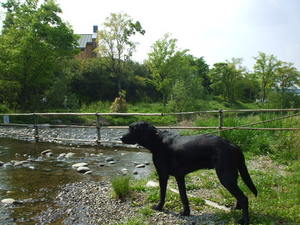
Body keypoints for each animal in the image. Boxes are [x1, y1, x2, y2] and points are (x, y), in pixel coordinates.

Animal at [120, 122, 256, 224]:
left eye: (133, 129)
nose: (121, 138)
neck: (157, 141)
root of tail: (234, 145)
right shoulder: (180, 176)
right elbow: (183, 196)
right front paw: (186, 212)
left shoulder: (163, 175)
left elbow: (162, 194)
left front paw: (159, 207)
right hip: (232, 175)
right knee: (239, 195)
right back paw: (236, 208)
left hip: (225, 176)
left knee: (244, 198)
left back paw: (244, 220)